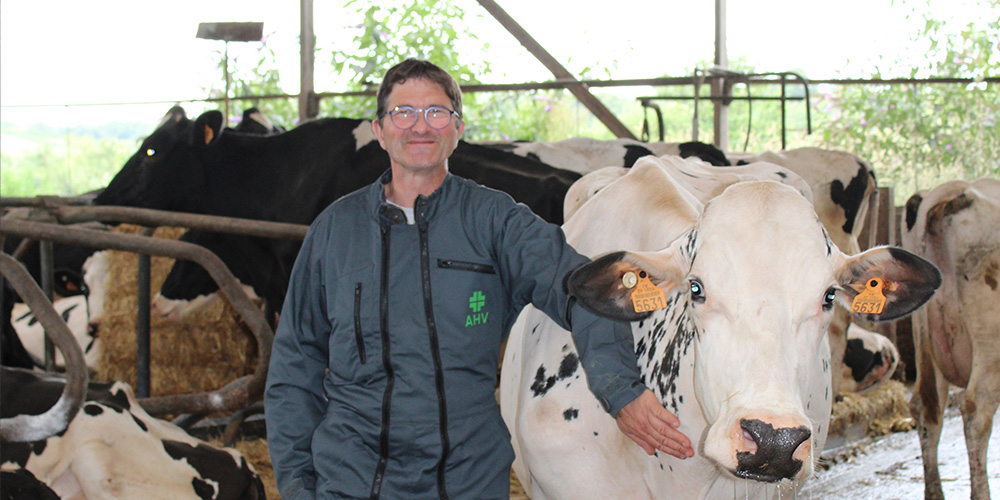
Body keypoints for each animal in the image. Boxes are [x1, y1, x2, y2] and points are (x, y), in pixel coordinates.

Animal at [900, 177, 1000, 500]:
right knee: (976, 410)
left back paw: (934, 492)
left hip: (926, 339)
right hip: (990, 342)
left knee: (925, 409)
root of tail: (955, 189)